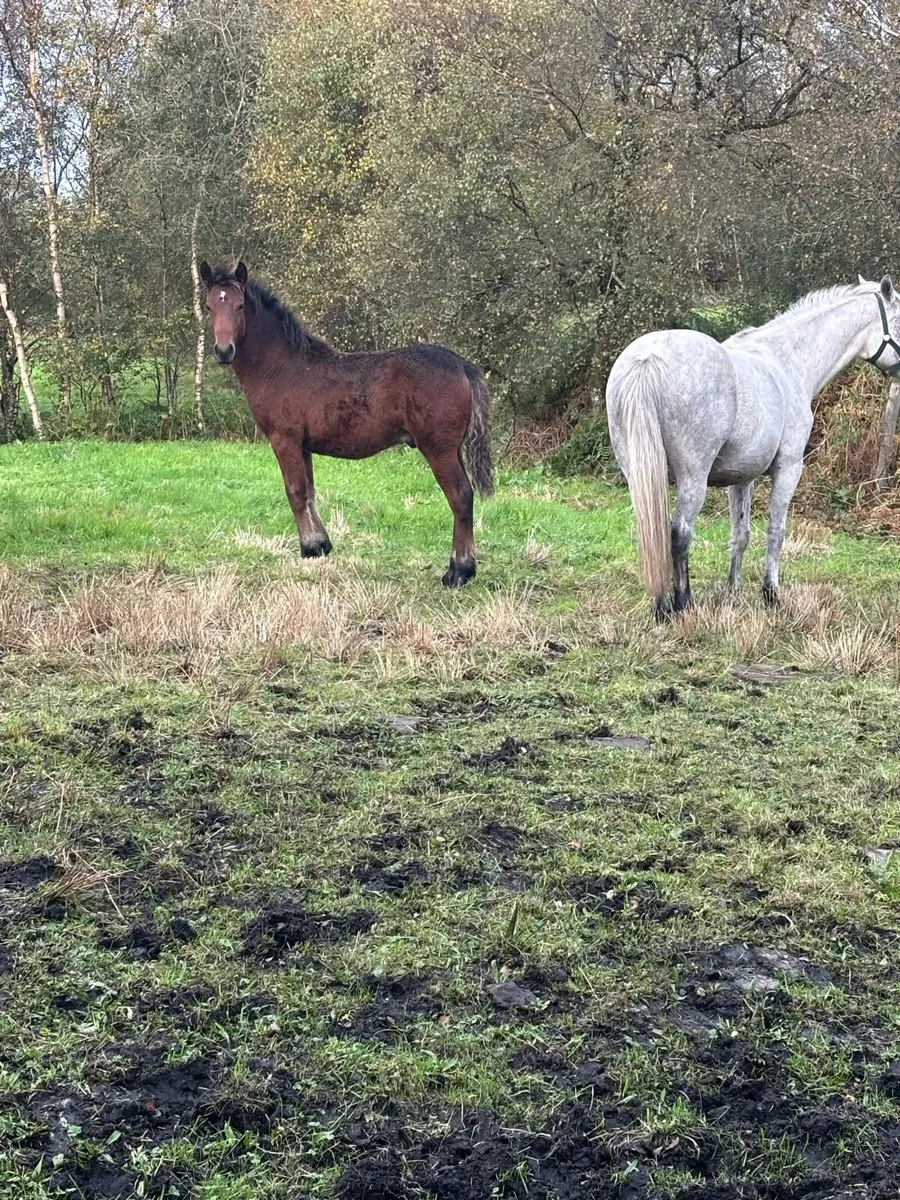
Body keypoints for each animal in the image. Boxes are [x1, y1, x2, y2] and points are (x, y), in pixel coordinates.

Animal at [199, 260, 494, 586]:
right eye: (209, 306)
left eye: (239, 305)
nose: (224, 351)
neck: (281, 366)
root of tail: (461, 365)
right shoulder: (303, 445)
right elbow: (309, 490)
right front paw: (320, 544)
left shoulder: (283, 439)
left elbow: (295, 491)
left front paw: (308, 548)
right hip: (453, 449)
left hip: (438, 449)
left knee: (460, 496)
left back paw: (458, 571)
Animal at [606, 275, 900, 620]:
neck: (787, 363)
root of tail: (648, 359)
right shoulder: (789, 468)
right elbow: (776, 530)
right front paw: (771, 594)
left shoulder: (741, 478)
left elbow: (740, 534)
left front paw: (733, 590)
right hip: (693, 478)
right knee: (679, 534)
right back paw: (682, 604)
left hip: (640, 475)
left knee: (653, 531)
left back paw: (661, 607)